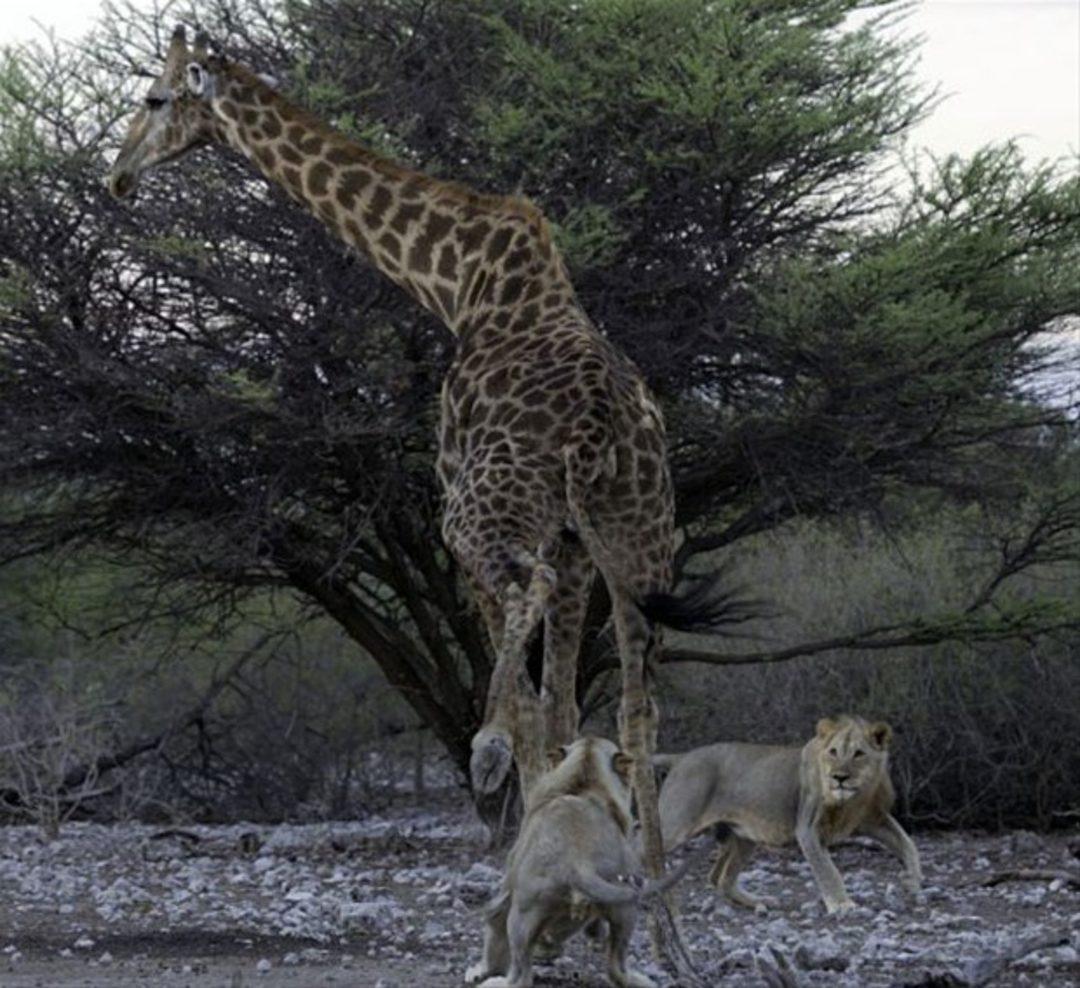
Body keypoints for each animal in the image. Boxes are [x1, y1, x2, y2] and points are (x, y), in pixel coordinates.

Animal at [109, 25, 734, 911]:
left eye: (156, 98)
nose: (118, 175)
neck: (455, 277)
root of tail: (603, 422)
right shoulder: (576, 540)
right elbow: (564, 708)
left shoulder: (466, 488)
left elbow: (540, 707)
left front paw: (515, 799)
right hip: (638, 538)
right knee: (639, 709)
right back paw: (654, 893)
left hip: (482, 514)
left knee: (526, 621)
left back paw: (491, 761)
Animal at [468, 738, 678, 984]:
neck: (583, 781)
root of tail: (579, 864)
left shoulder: (505, 893)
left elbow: (494, 936)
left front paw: (481, 971)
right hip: (626, 905)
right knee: (616, 966)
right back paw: (640, 981)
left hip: (521, 915)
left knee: (521, 975)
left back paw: (496, 982)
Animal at [656, 712, 920, 915]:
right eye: (833, 752)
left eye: (859, 754)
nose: (839, 778)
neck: (855, 797)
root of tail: (683, 757)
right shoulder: (808, 828)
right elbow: (827, 870)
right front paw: (841, 904)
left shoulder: (875, 819)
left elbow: (907, 844)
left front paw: (912, 882)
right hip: (677, 824)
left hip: (744, 837)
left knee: (719, 878)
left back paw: (759, 901)